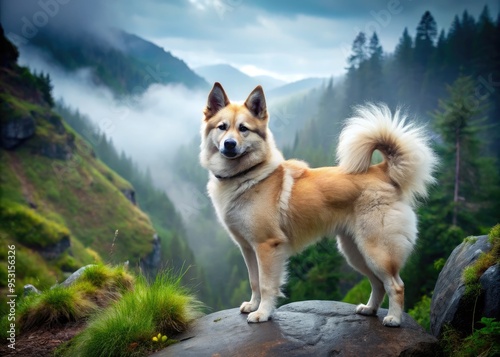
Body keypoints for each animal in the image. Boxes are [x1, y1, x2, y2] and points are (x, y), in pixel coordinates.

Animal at [199, 81, 438, 326]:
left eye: (243, 128)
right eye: (222, 127)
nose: (229, 144)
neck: (247, 176)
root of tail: (382, 171)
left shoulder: (267, 246)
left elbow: (266, 285)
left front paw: (263, 313)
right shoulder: (248, 248)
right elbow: (254, 281)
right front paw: (253, 305)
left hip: (377, 251)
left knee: (396, 285)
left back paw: (393, 318)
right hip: (356, 252)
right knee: (378, 283)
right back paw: (369, 309)